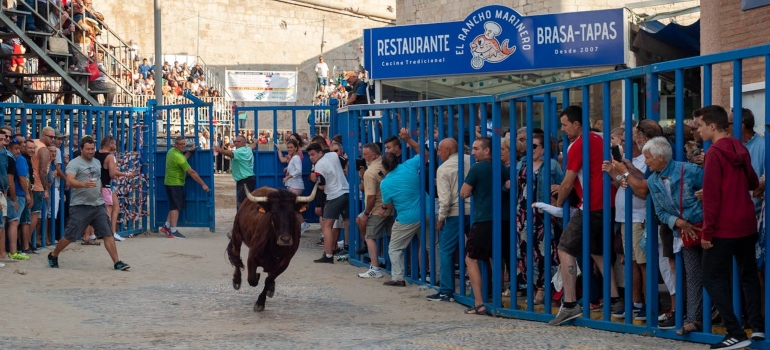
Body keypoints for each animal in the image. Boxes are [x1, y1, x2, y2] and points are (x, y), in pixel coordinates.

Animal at [226, 183, 316, 312]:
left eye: (292, 213)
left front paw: (260, 302)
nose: (285, 239)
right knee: (236, 255)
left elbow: (269, 280)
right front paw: (257, 278)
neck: (274, 246)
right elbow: (252, 279)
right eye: (273, 213)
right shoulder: (252, 256)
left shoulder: (284, 263)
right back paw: (237, 280)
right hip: (237, 234)